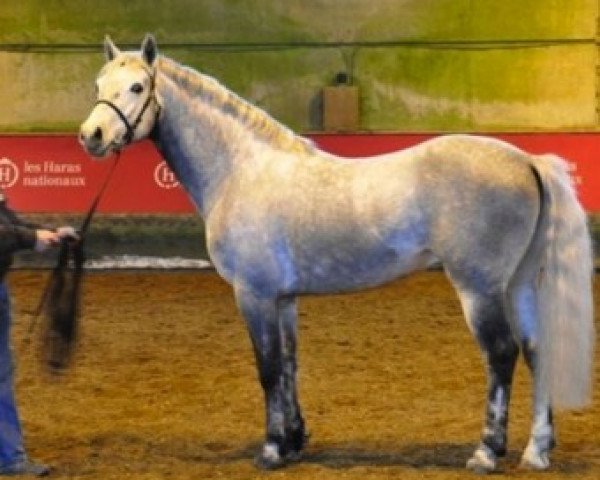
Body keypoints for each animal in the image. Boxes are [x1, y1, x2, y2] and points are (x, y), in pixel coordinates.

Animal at [78, 35, 592, 474]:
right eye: (98, 84)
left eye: (137, 86)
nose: (92, 136)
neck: (241, 170)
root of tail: (528, 161)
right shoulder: (283, 299)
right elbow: (289, 365)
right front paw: (293, 440)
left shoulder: (253, 294)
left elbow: (267, 368)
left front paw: (271, 450)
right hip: (518, 284)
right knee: (537, 351)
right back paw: (537, 451)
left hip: (479, 287)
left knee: (502, 354)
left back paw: (487, 451)